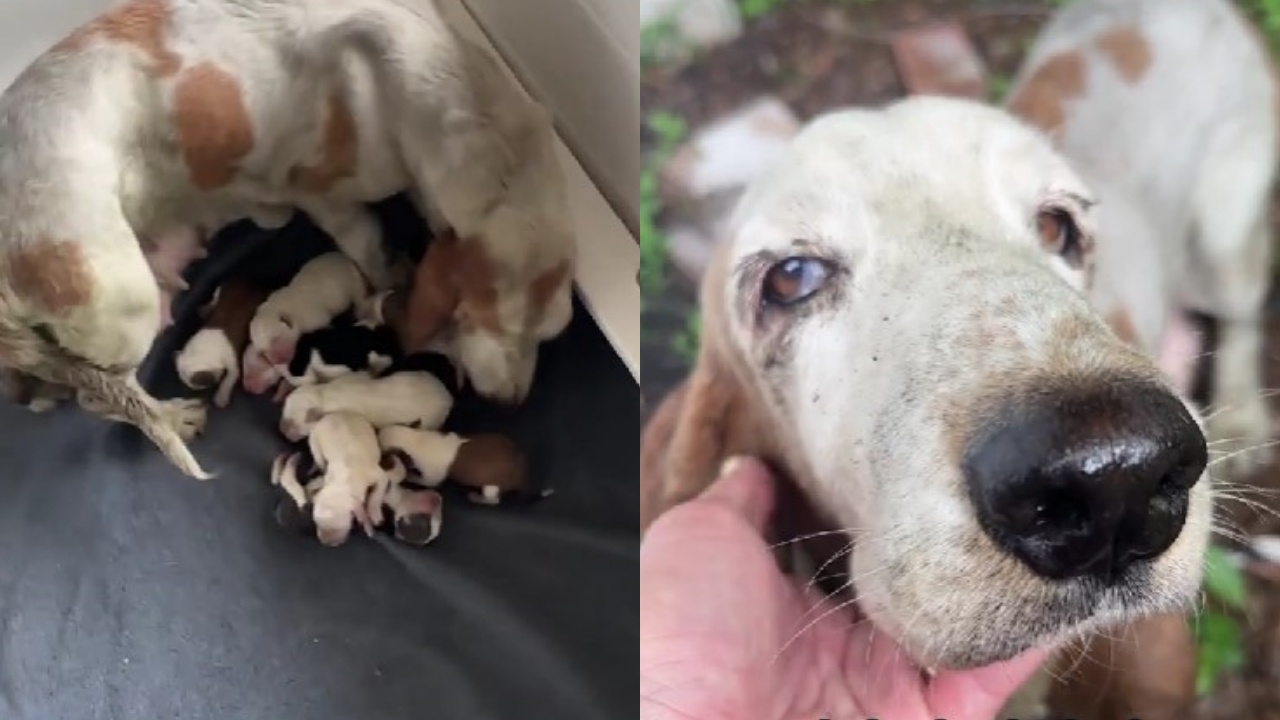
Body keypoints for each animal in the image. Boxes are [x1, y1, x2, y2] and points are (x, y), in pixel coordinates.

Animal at [174, 275, 268, 407]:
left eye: (196, 387)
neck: (204, 350)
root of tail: (252, 282)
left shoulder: (233, 365)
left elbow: (228, 379)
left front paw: (221, 397)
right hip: (221, 289)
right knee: (214, 300)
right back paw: (206, 309)